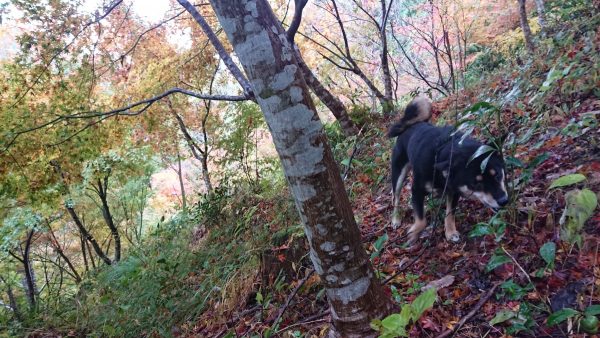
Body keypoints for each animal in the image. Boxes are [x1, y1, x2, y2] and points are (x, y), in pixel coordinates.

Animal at [386, 97, 508, 243]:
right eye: (476, 183)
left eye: (498, 175)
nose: (503, 201)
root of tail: (411, 125)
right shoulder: (416, 190)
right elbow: (422, 221)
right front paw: (414, 233)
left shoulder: (453, 190)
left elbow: (450, 213)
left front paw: (450, 232)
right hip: (398, 174)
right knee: (396, 198)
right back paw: (395, 219)